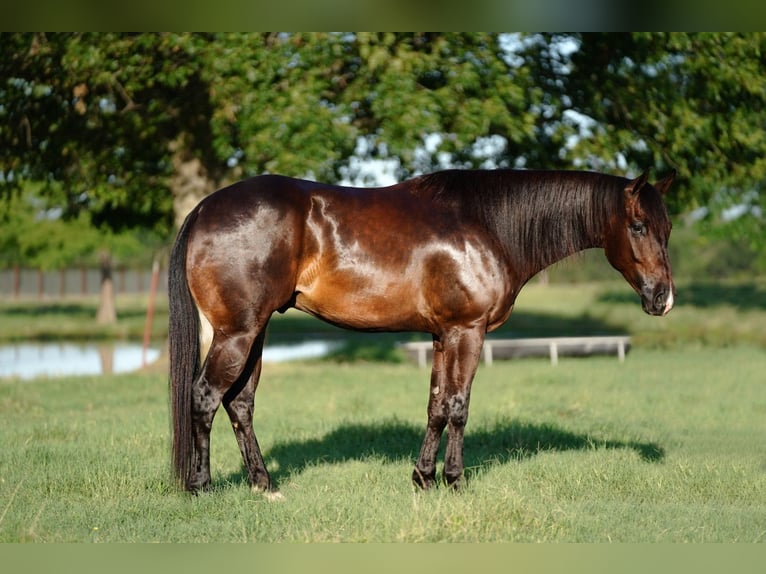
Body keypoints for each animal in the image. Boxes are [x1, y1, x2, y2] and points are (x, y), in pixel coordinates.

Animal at [170, 166, 680, 496]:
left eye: (669, 226)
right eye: (638, 225)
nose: (663, 299)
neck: (487, 225)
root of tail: (203, 210)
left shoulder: (442, 336)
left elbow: (436, 405)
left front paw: (423, 478)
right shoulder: (467, 331)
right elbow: (458, 406)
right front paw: (454, 480)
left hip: (255, 333)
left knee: (240, 404)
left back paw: (264, 484)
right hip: (237, 333)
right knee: (205, 397)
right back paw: (201, 486)